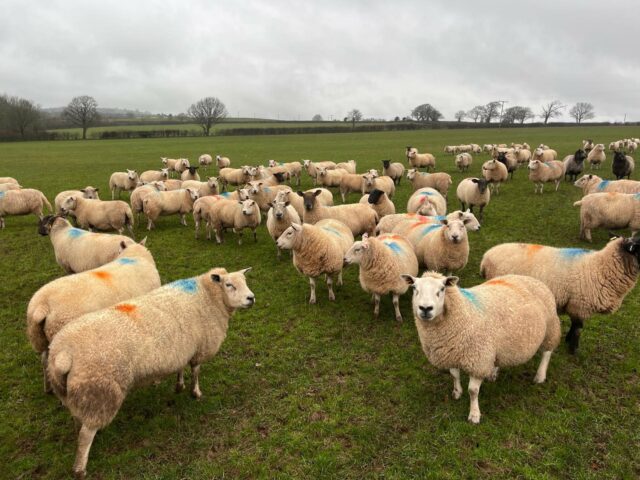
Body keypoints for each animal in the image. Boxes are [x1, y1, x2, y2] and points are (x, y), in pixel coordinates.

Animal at [47, 267, 254, 479]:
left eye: (245, 281)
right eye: (229, 284)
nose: (251, 298)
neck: (208, 297)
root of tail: (63, 353)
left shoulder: (181, 348)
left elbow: (181, 368)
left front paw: (179, 385)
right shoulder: (200, 348)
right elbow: (196, 371)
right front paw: (195, 393)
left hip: (74, 393)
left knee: (78, 421)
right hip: (100, 391)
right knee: (85, 435)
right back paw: (80, 469)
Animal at [402, 271, 560, 423]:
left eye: (442, 289)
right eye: (414, 288)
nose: (425, 308)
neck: (464, 312)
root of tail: (531, 278)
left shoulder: (478, 360)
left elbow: (472, 391)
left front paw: (474, 414)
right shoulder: (451, 353)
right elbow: (454, 375)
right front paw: (457, 392)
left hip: (550, 327)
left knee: (547, 352)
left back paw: (540, 376)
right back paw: (493, 373)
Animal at [480, 236, 640, 353]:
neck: (600, 267)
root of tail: (486, 257)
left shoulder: (575, 306)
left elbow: (574, 326)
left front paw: (568, 340)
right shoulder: (580, 306)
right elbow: (578, 329)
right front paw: (573, 350)